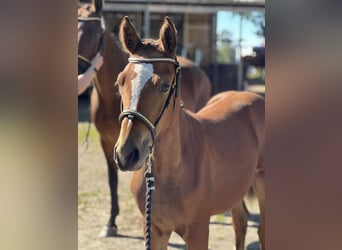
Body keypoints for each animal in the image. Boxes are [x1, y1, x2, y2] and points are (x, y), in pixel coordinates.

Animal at [113, 16, 266, 249]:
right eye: (120, 82)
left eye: (165, 86)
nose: (126, 154)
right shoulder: (154, 230)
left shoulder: (198, 231)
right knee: (240, 221)